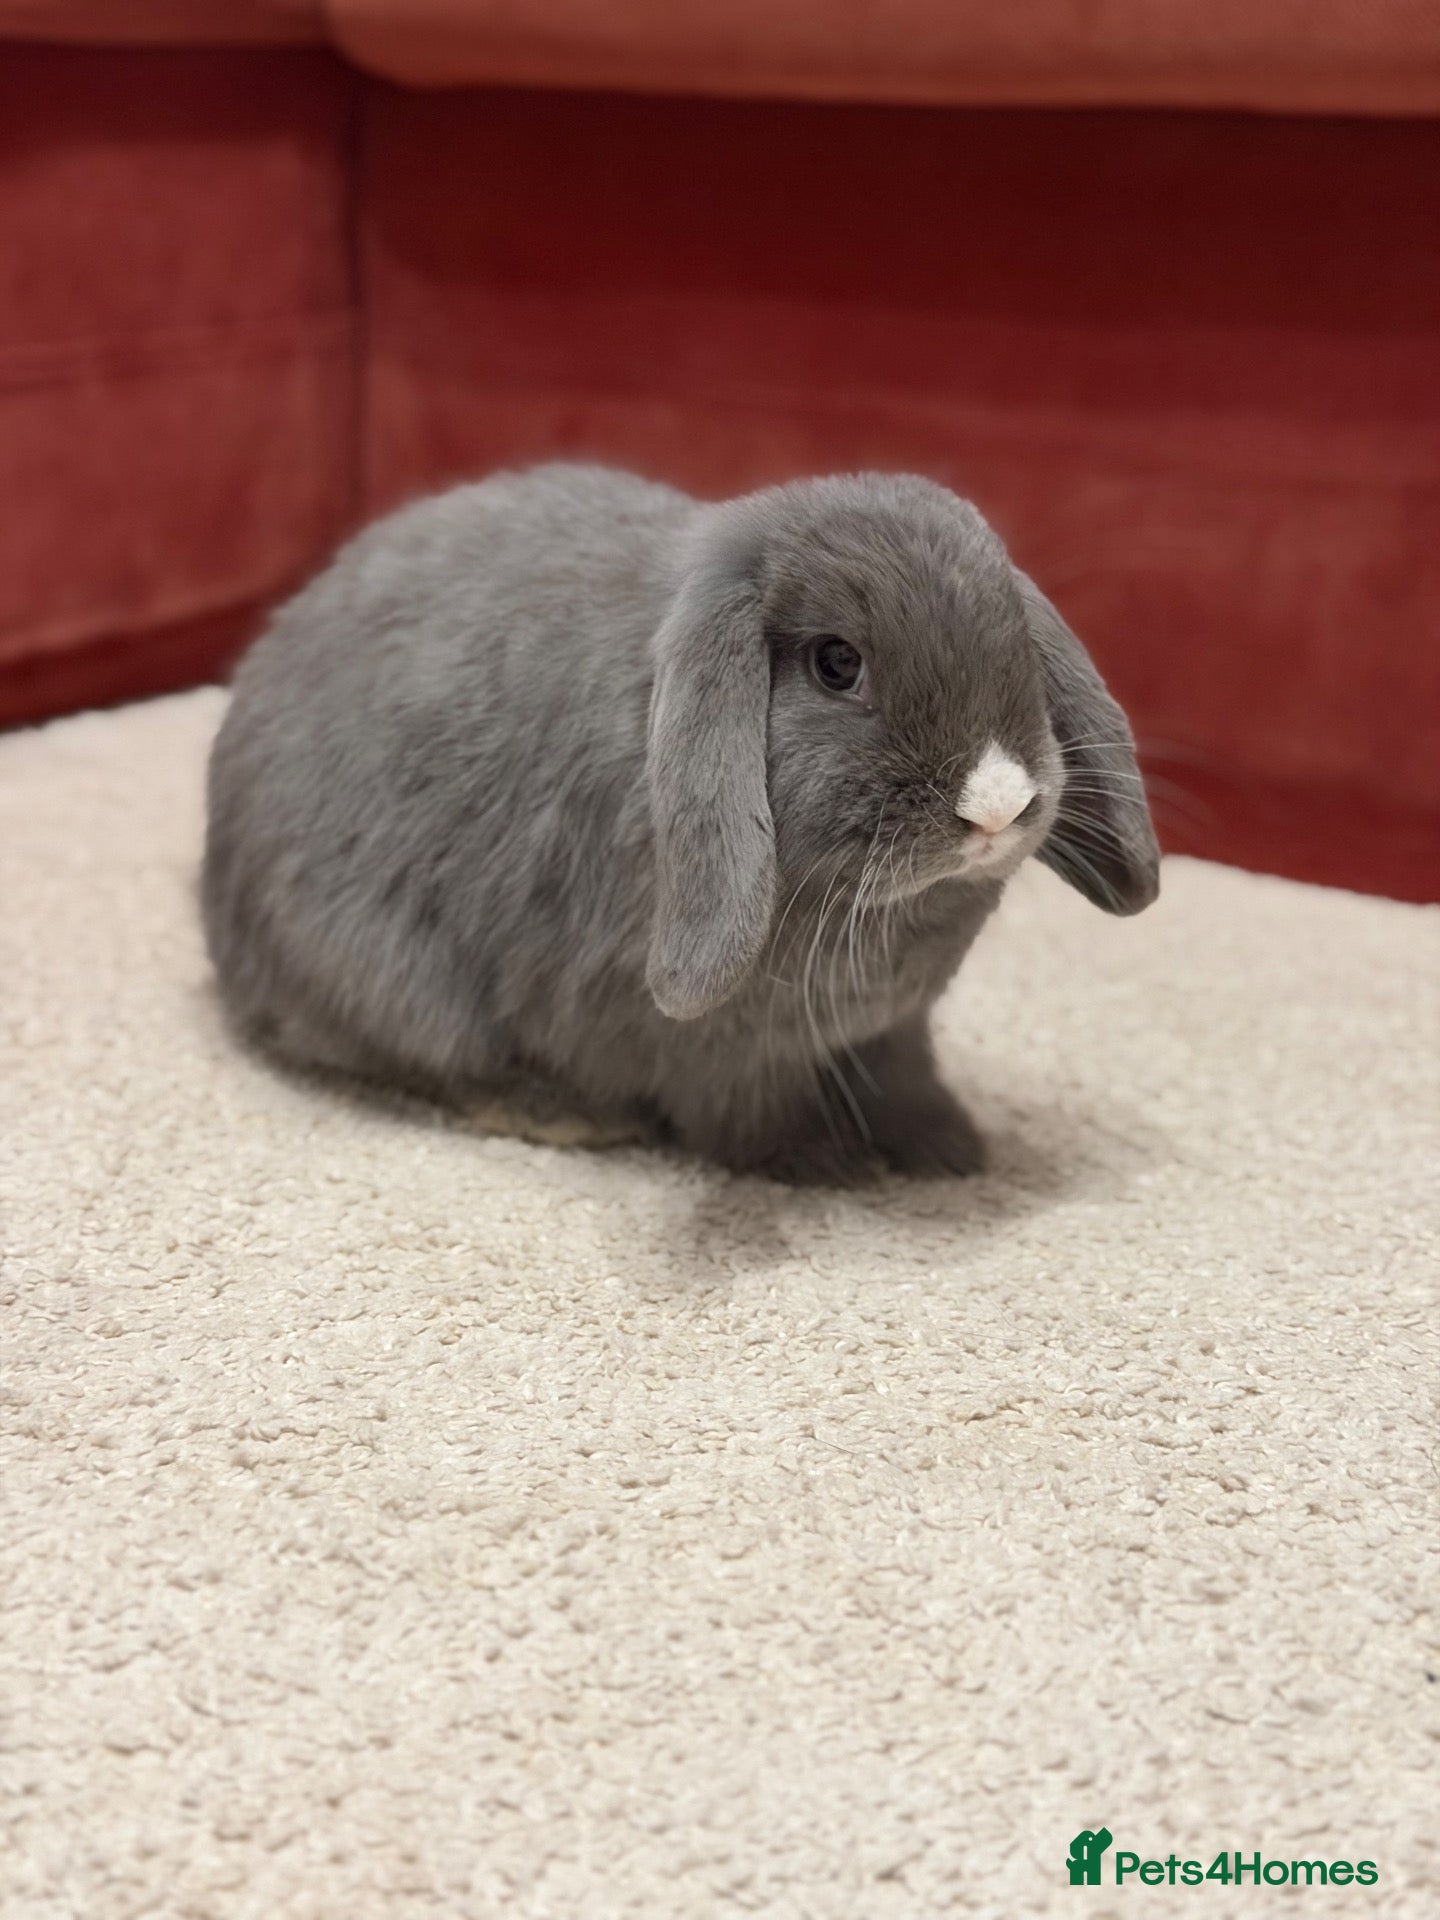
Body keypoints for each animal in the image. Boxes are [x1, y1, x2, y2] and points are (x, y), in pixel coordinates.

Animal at [202, 463, 1159, 1184]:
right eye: (836, 664)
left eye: (1017, 642)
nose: (996, 801)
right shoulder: (716, 1046)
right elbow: (744, 1111)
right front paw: (820, 1163)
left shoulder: (894, 1027)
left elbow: (906, 1077)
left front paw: (949, 1151)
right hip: (388, 977)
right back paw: (562, 1116)